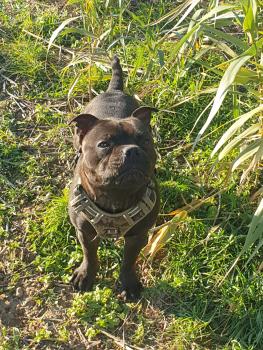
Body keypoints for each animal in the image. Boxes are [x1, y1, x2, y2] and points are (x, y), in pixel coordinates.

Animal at [68, 56, 159, 300]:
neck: (116, 196)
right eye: (104, 144)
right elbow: (89, 255)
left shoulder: (138, 235)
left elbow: (128, 261)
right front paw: (85, 275)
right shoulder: (85, 232)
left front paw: (128, 283)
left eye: (145, 141)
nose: (133, 151)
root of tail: (114, 90)